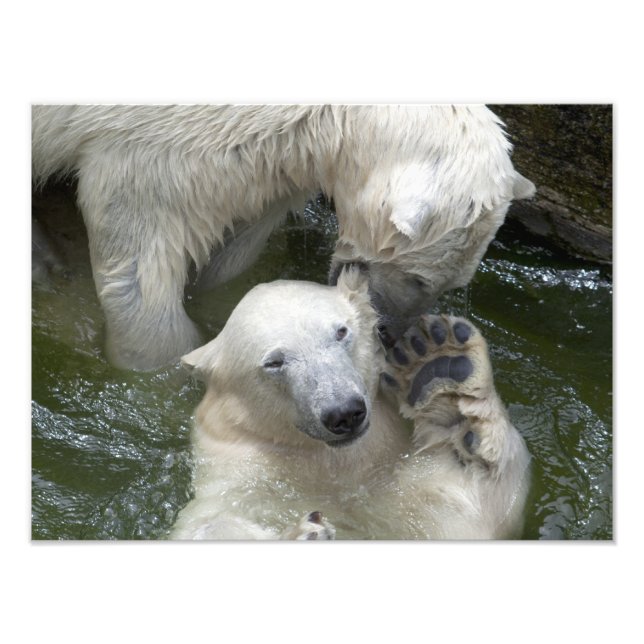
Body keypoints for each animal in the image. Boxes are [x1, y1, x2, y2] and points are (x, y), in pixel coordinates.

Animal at [31, 105, 535, 370]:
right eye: (418, 279)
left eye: (452, 285)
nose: (391, 335)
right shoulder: (155, 144)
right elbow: (138, 255)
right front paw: (163, 364)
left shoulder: (272, 154)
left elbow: (238, 239)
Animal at [169, 268, 531, 540]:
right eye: (274, 362)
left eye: (341, 332)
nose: (344, 413)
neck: (338, 466)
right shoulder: (239, 473)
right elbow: (206, 524)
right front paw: (305, 533)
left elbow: (472, 509)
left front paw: (443, 369)